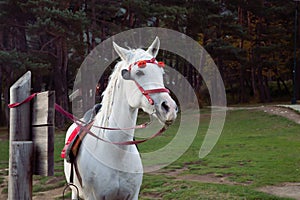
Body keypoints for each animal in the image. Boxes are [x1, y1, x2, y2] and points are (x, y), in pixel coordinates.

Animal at [63, 36, 176, 199]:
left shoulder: (133, 195)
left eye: (160, 72)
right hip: (74, 191)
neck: (116, 153)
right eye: (138, 73)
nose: (169, 108)